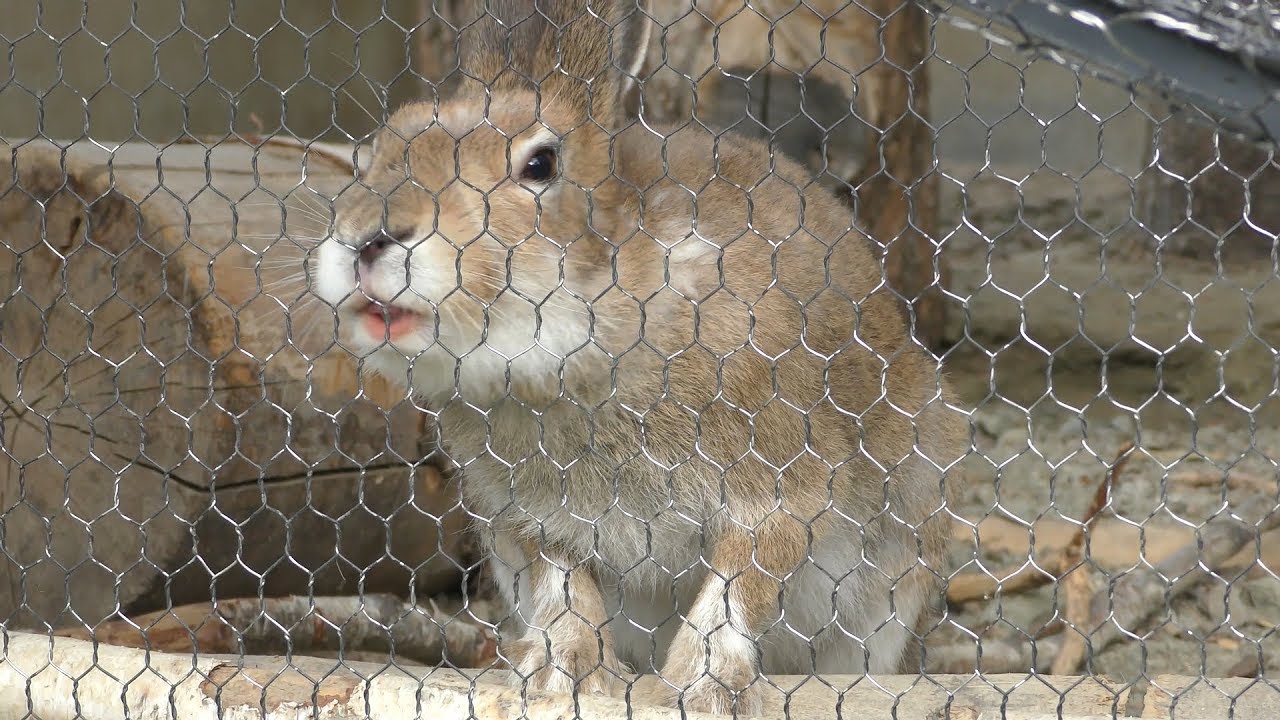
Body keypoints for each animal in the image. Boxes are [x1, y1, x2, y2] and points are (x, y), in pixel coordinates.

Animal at [309, 0, 967, 714]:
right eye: (376, 151)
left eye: (540, 165)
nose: (367, 239)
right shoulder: (536, 519)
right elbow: (566, 586)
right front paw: (561, 674)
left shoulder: (784, 483)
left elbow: (742, 580)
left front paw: (699, 685)